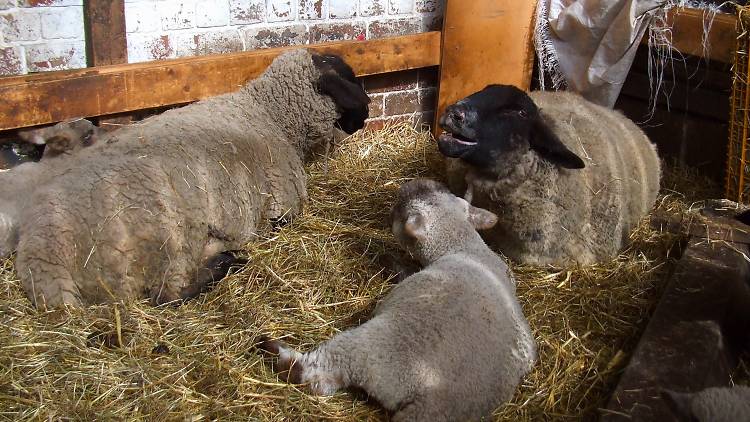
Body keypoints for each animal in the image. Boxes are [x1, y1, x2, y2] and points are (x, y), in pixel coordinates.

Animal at [1, 48, 372, 306]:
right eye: (348, 78)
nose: (367, 113)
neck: (268, 113)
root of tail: (43, 252)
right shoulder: (283, 206)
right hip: (165, 239)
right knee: (168, 296)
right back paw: (226, 264)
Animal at [258, 178, 536, 422]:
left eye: (400, 210)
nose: (414, 184)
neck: (463, 247)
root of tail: (431, 402)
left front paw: (388, 260)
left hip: (369, 350)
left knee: (315, 373)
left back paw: (273, 350)